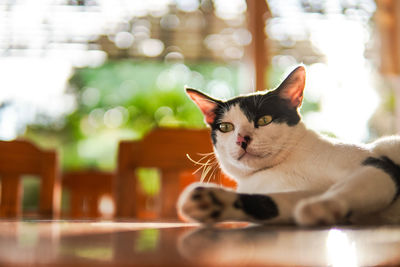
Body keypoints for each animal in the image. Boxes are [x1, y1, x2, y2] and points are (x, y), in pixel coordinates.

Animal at [177, 65, 400, 226]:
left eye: (264, 120)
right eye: (225, 127)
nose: (242, 139)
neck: (281, 168)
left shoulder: (377, 167)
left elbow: (349, 187)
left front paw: (322, 206)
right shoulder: (289, 193)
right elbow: (270, 203)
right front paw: (212, 201)